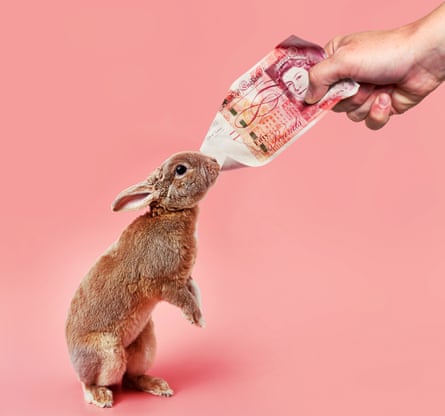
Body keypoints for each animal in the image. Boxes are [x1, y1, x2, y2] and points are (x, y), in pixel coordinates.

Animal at [65, 151, 219, 408]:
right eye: (180, 169)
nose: (215, 162)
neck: (168, 213)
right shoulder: (165, 283)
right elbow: (184, 299)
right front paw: (195, 319)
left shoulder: (186, 277)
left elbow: (194, 292)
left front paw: (201, 320)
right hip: (107, 352)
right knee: (92, 382)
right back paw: (100, 396)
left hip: (145, 344)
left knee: (131, 377)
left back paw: (158, 386)